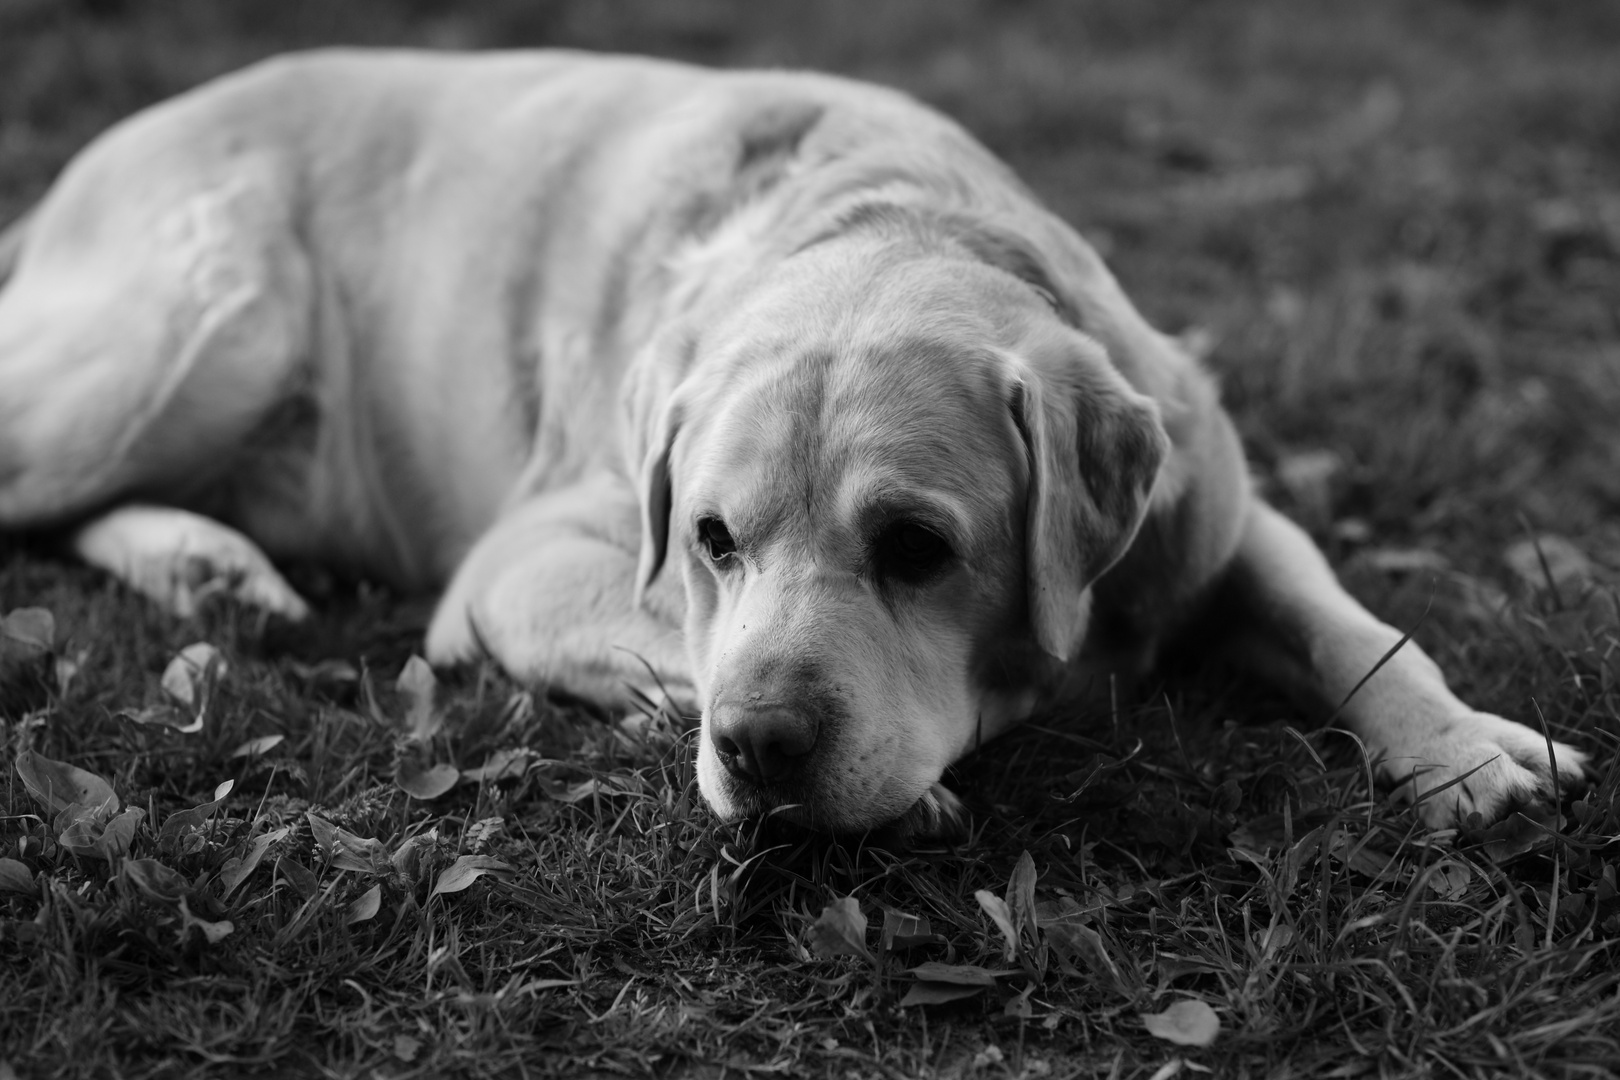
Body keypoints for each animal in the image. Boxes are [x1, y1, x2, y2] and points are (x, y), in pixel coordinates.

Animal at [0, 46, 1594, 835]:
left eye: (919, 549)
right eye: (713, 540)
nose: (760, 751)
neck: (888, 214)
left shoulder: (1223, 508)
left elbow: (1361, 632)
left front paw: (1468, 751)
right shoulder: (522, 556)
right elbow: (653, 626)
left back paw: (209, 565)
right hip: (202, 324)